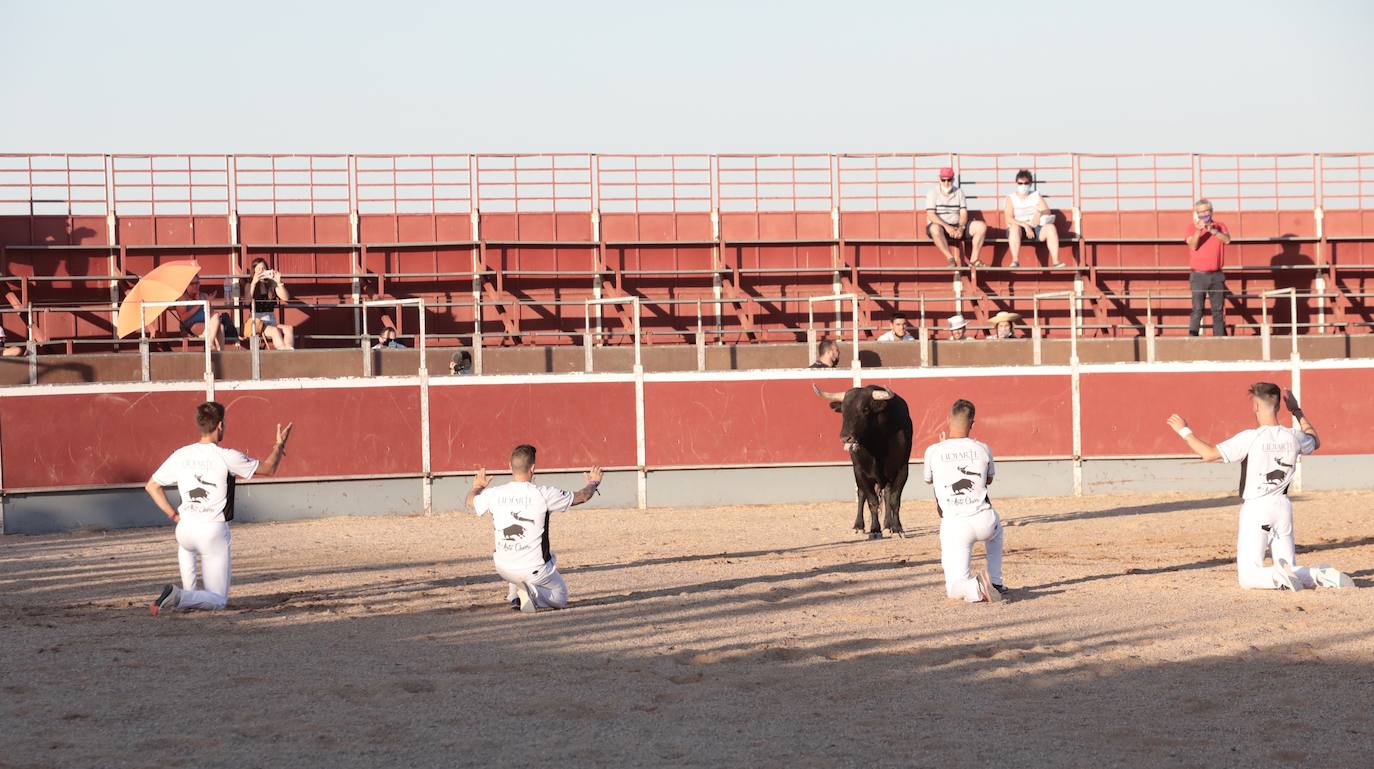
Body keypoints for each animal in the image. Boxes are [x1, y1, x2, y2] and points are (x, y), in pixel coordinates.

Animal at [813, 381, 912, 538]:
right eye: (843, 410)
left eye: (865, 409)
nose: (845, 437)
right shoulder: (860, 472)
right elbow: (872, 501)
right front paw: (875, 530)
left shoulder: (902, 470)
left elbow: (894, 500)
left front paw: (897, 529)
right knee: (861, 494)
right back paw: (859, 526)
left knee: (886, 495)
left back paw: (888, 525)